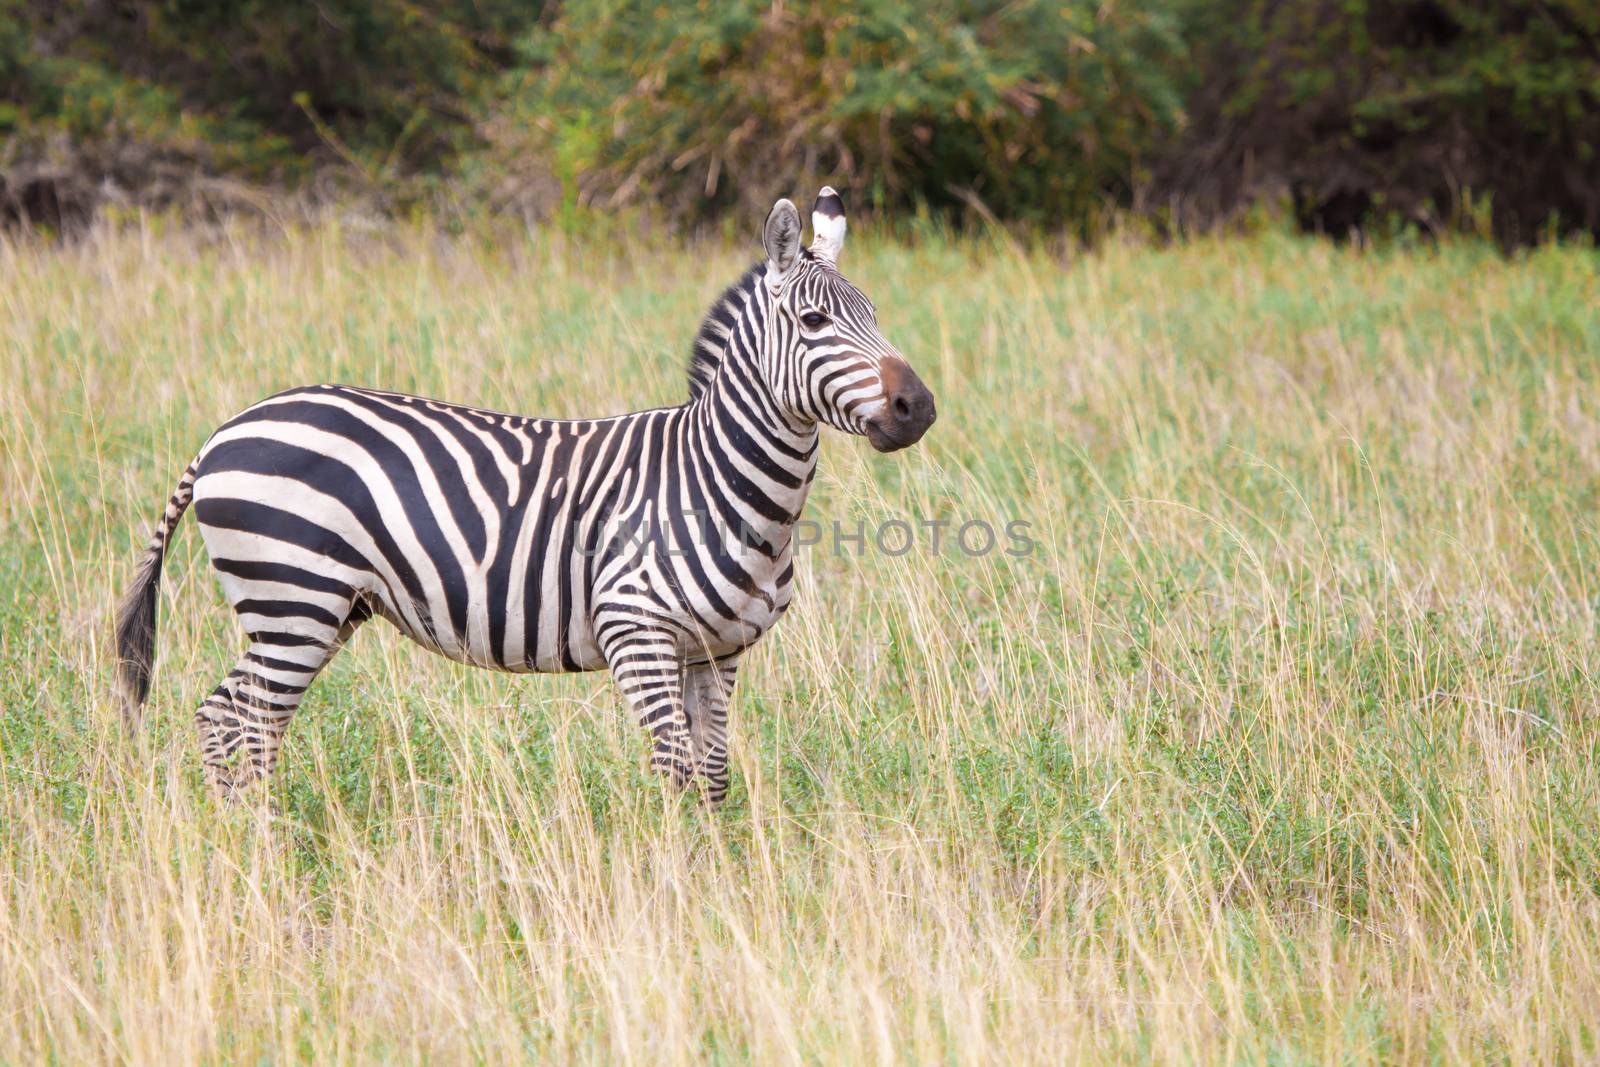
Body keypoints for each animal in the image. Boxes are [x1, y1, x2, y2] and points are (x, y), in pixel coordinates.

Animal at [112, 187, 934, 806]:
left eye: (875, 315)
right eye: (814, 321)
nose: (918, 407)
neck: (719, 483)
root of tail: (222, 433)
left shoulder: (718, 650)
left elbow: (712, 774)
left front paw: (718, 874)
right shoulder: (636, 632)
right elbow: (674, 771)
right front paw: (675, 886)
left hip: (320, 609)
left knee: (230, 716)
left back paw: (249, 842)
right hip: (293, 598)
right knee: (244, 721)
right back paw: (262, 847)